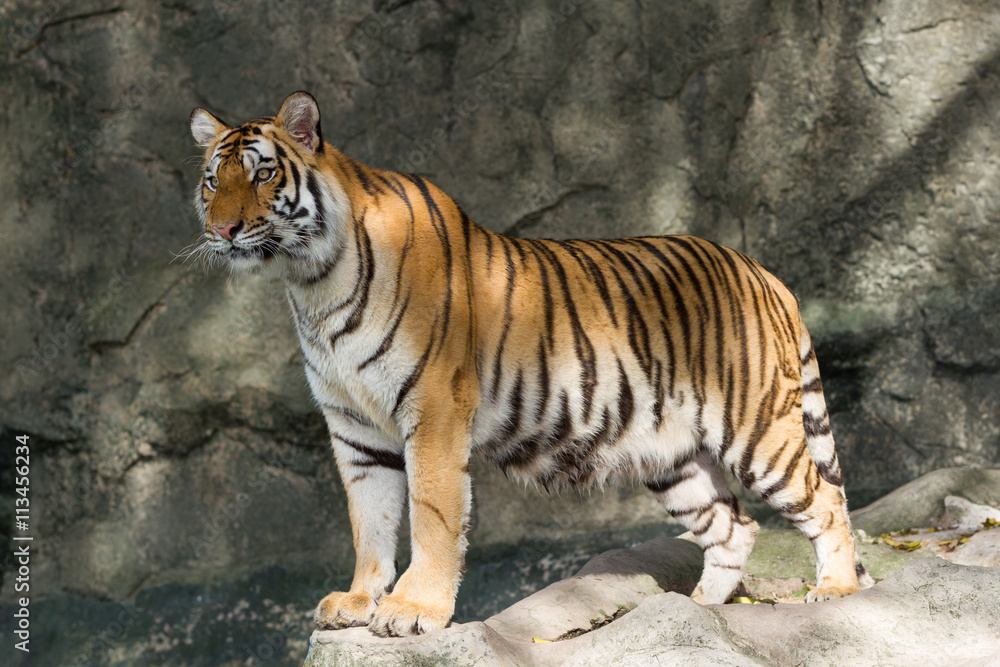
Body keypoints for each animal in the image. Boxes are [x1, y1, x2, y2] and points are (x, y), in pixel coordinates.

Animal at [187, 91, 874, 637]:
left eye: (263, 174)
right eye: (212, 181)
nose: (223, 231)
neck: (312, 280)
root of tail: (761, 271)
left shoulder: (432, 411)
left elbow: (431, 515)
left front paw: (414, 610)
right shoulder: (353, 427)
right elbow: (370, 520)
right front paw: (359, 600)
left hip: (758, 431)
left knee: (826, 502)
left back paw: (833, 592)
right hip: (674, 459)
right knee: (735, 529)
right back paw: (698, 610)